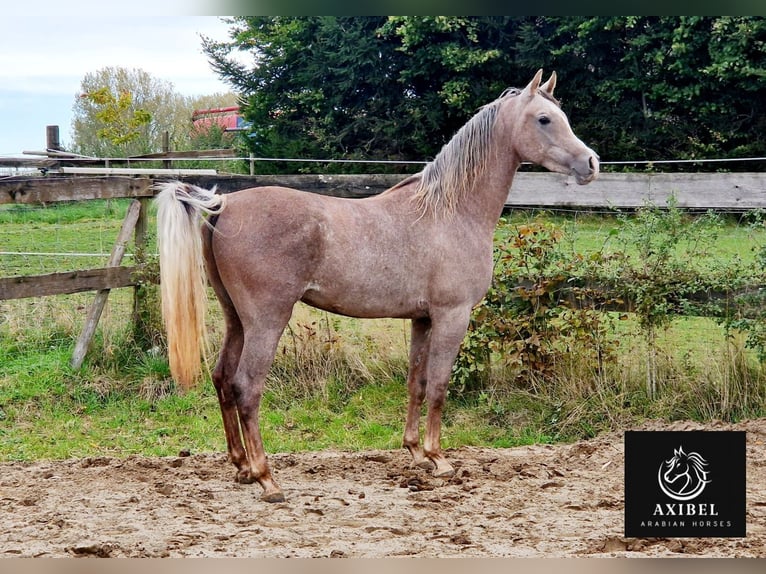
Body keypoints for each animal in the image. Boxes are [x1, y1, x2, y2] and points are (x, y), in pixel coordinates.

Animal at [154, 70, 600, 504]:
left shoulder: (422, 319)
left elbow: (417, 383)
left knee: (222, 378)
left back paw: (242, 467)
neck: (450, 210)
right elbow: (439, 385)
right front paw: (439, 459)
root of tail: (224, 205)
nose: (591, 163)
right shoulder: (452, 316)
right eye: (544, 119)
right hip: (266, 321)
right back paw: (267, 479)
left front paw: (416, 452)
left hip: (236, 319)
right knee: (246, 387)